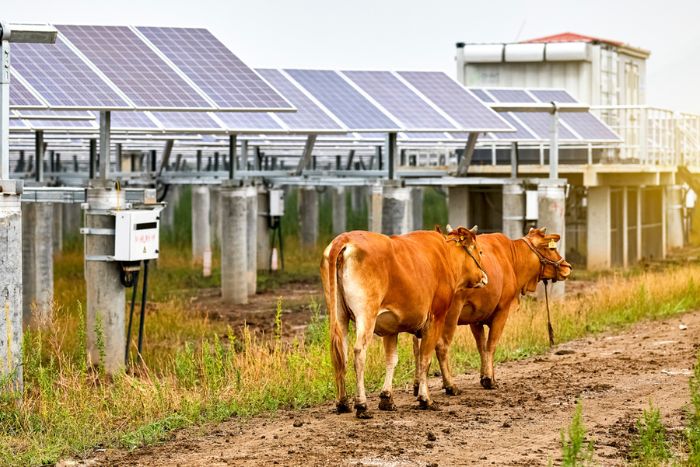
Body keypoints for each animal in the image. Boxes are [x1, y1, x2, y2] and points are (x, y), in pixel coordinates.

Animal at [322, 227, 486, 420]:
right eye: (479, 250)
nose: (485, 277)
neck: (444, 256)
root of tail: (345, 238)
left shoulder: (390, 327)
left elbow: (392, 360)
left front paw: (387, 398)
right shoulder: (435, 318)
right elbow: (425, 358)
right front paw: (425, 399)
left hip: (339, 315)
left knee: (340, 354)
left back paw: (342, 403)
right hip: (366, 314)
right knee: (359, 353)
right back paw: (361, 405)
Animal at [412, 229, 572, 396]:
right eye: (550, 248)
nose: (567, 266)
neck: (512, 259)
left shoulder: (475, 317)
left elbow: (481, 346)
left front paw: (485, 375)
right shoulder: (502, 311)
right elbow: (491, 344)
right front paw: (489, 379)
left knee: (418, 349)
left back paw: (417, 385)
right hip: (449, 314)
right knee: (441, 346)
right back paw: (450, 385)